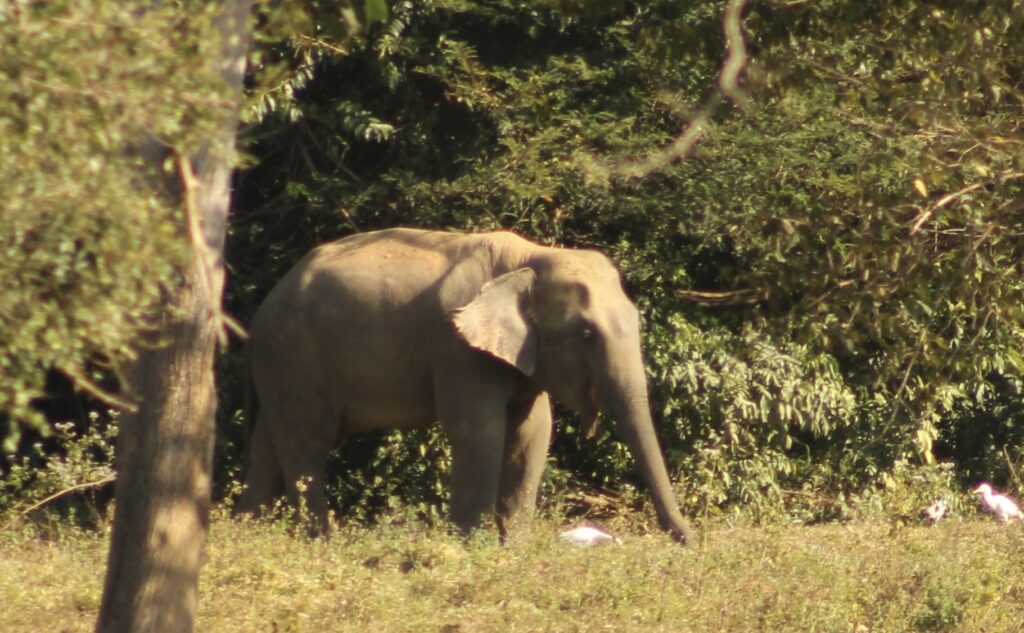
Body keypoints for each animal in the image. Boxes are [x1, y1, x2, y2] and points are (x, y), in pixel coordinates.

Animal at [234, 228, 693, 544]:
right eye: (585, 334)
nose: (688, 540)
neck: (531, 257)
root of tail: (261, 311)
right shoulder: (458, 349)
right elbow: (481, 431)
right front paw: (472, 547)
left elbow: (532, 433)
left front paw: (513, 548)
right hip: (294, 356)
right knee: (306, 443)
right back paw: (319, 542)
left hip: (282, 367)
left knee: (269, 442)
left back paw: (248, 530)